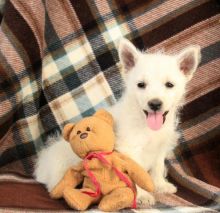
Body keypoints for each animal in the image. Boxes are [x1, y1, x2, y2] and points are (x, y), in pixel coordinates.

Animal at [34, 37, 201, 205]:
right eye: (141, 85)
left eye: (169, 85)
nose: (155, 104)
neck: (146, 124)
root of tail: (42, 165)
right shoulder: (130, 150)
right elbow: (136, 173)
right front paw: (142, 195)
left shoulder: (160, 148)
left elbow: (158, 166)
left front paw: (160, 185)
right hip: (60, 168)